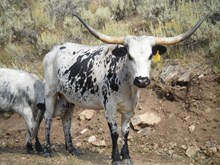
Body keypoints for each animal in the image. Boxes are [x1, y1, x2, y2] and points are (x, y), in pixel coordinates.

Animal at [42, 14, 206, 165]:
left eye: (150, 56)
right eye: (130, 55)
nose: (141, 80)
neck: (126, 83)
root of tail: (54, 50)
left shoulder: (130, 109)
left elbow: (125, 132)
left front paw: (126, 156)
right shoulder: (109, 107)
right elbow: (114, 133)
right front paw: (116, 158)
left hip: (69, 98)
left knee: (66, 120)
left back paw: (71, 148)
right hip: (50, 93)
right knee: (48, 118)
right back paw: (47, 150)